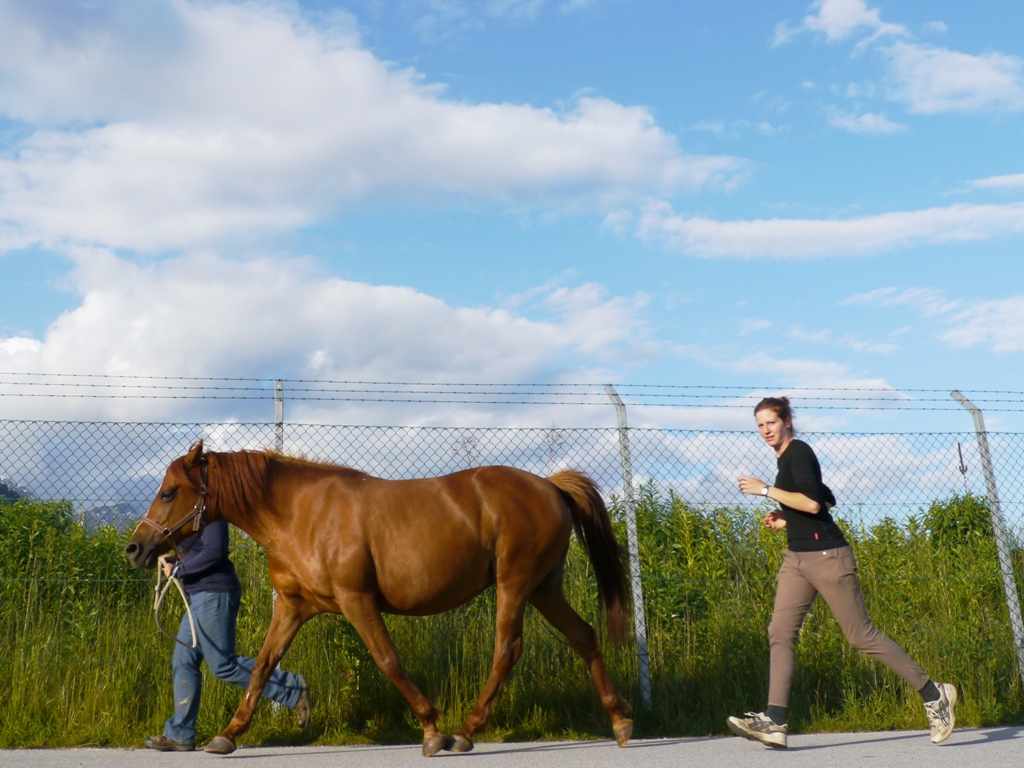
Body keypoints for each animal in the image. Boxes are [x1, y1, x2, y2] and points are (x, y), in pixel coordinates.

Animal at [124, 442, 634, 753]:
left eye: (169, 492)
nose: (136, 549)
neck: (301, 513)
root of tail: (550, 486)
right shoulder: (292, 606)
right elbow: (263, 666)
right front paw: (228, 735)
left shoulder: (357, 600)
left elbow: (388, 661)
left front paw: (431, 729)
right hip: (544, 586)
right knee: (584, 636)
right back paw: (620, 722)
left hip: (515, 583)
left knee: (508, 650)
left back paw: (465, 732)